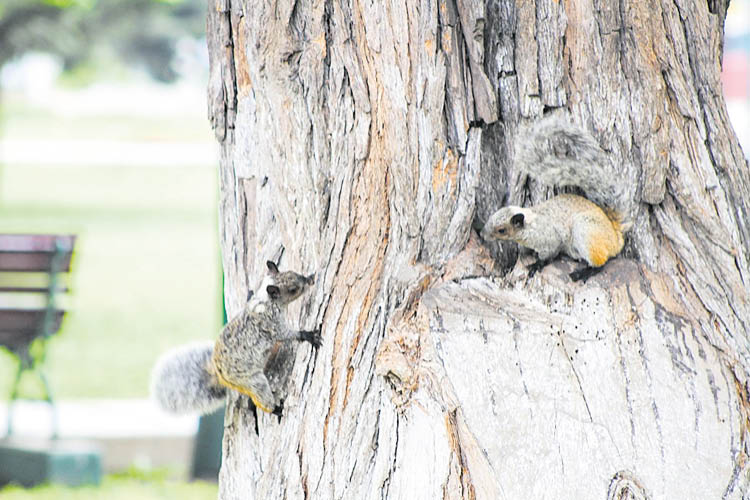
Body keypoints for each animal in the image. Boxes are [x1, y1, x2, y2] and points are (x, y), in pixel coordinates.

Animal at [150, 262, 320, 418]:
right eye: (293, 290)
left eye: (296, 273)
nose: (310, 281)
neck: (265, 301)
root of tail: (221, 376)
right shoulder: (272, 325)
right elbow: (286, 334)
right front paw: (308, 335)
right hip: (254, 380)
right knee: (261, 399)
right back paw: (276, 409)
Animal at [482, 112, 636, 282]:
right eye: (490, 218)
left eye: (501, 230)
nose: (483, 235)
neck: (531, 222)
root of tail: (615, 234)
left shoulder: (550, 239)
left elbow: (548, 255)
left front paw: (536, 265)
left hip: (586, 232)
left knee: (601, 262)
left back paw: (583, 273)